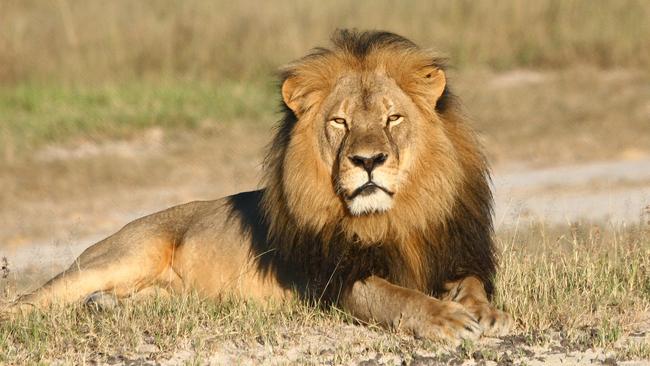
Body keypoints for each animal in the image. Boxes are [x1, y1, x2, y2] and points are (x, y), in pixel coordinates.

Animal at [5, 30, 512, 344]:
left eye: (393, 118)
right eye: (340, 122)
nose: (368, 161)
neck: (394, 217)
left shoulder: (453, 251)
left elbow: (471, 283)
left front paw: (484, 312)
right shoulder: (335, 281)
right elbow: (396, 296)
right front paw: (446, 319)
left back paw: (104, 308)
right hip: (124, 255)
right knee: (29, 300)